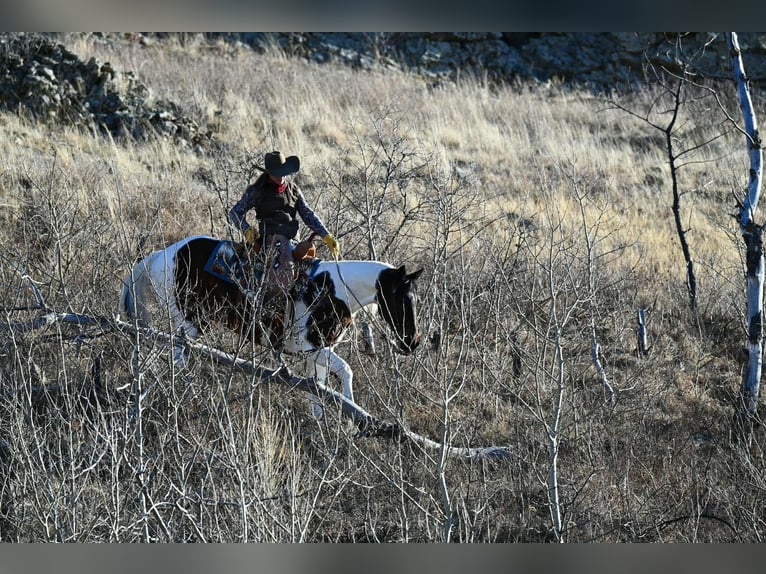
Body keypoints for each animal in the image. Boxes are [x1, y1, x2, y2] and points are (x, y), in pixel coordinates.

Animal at [118, 234, 423, 417]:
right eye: (399, 298)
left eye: (415, 299)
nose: (413, 341)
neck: (332, 290)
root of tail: (163, 254)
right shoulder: (307, 347)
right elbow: (345, 371)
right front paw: (352, 414)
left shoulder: (316, 352)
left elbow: (317, 387)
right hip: (190, 321)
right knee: (178, 357)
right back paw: (187, 394)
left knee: (164, 351)